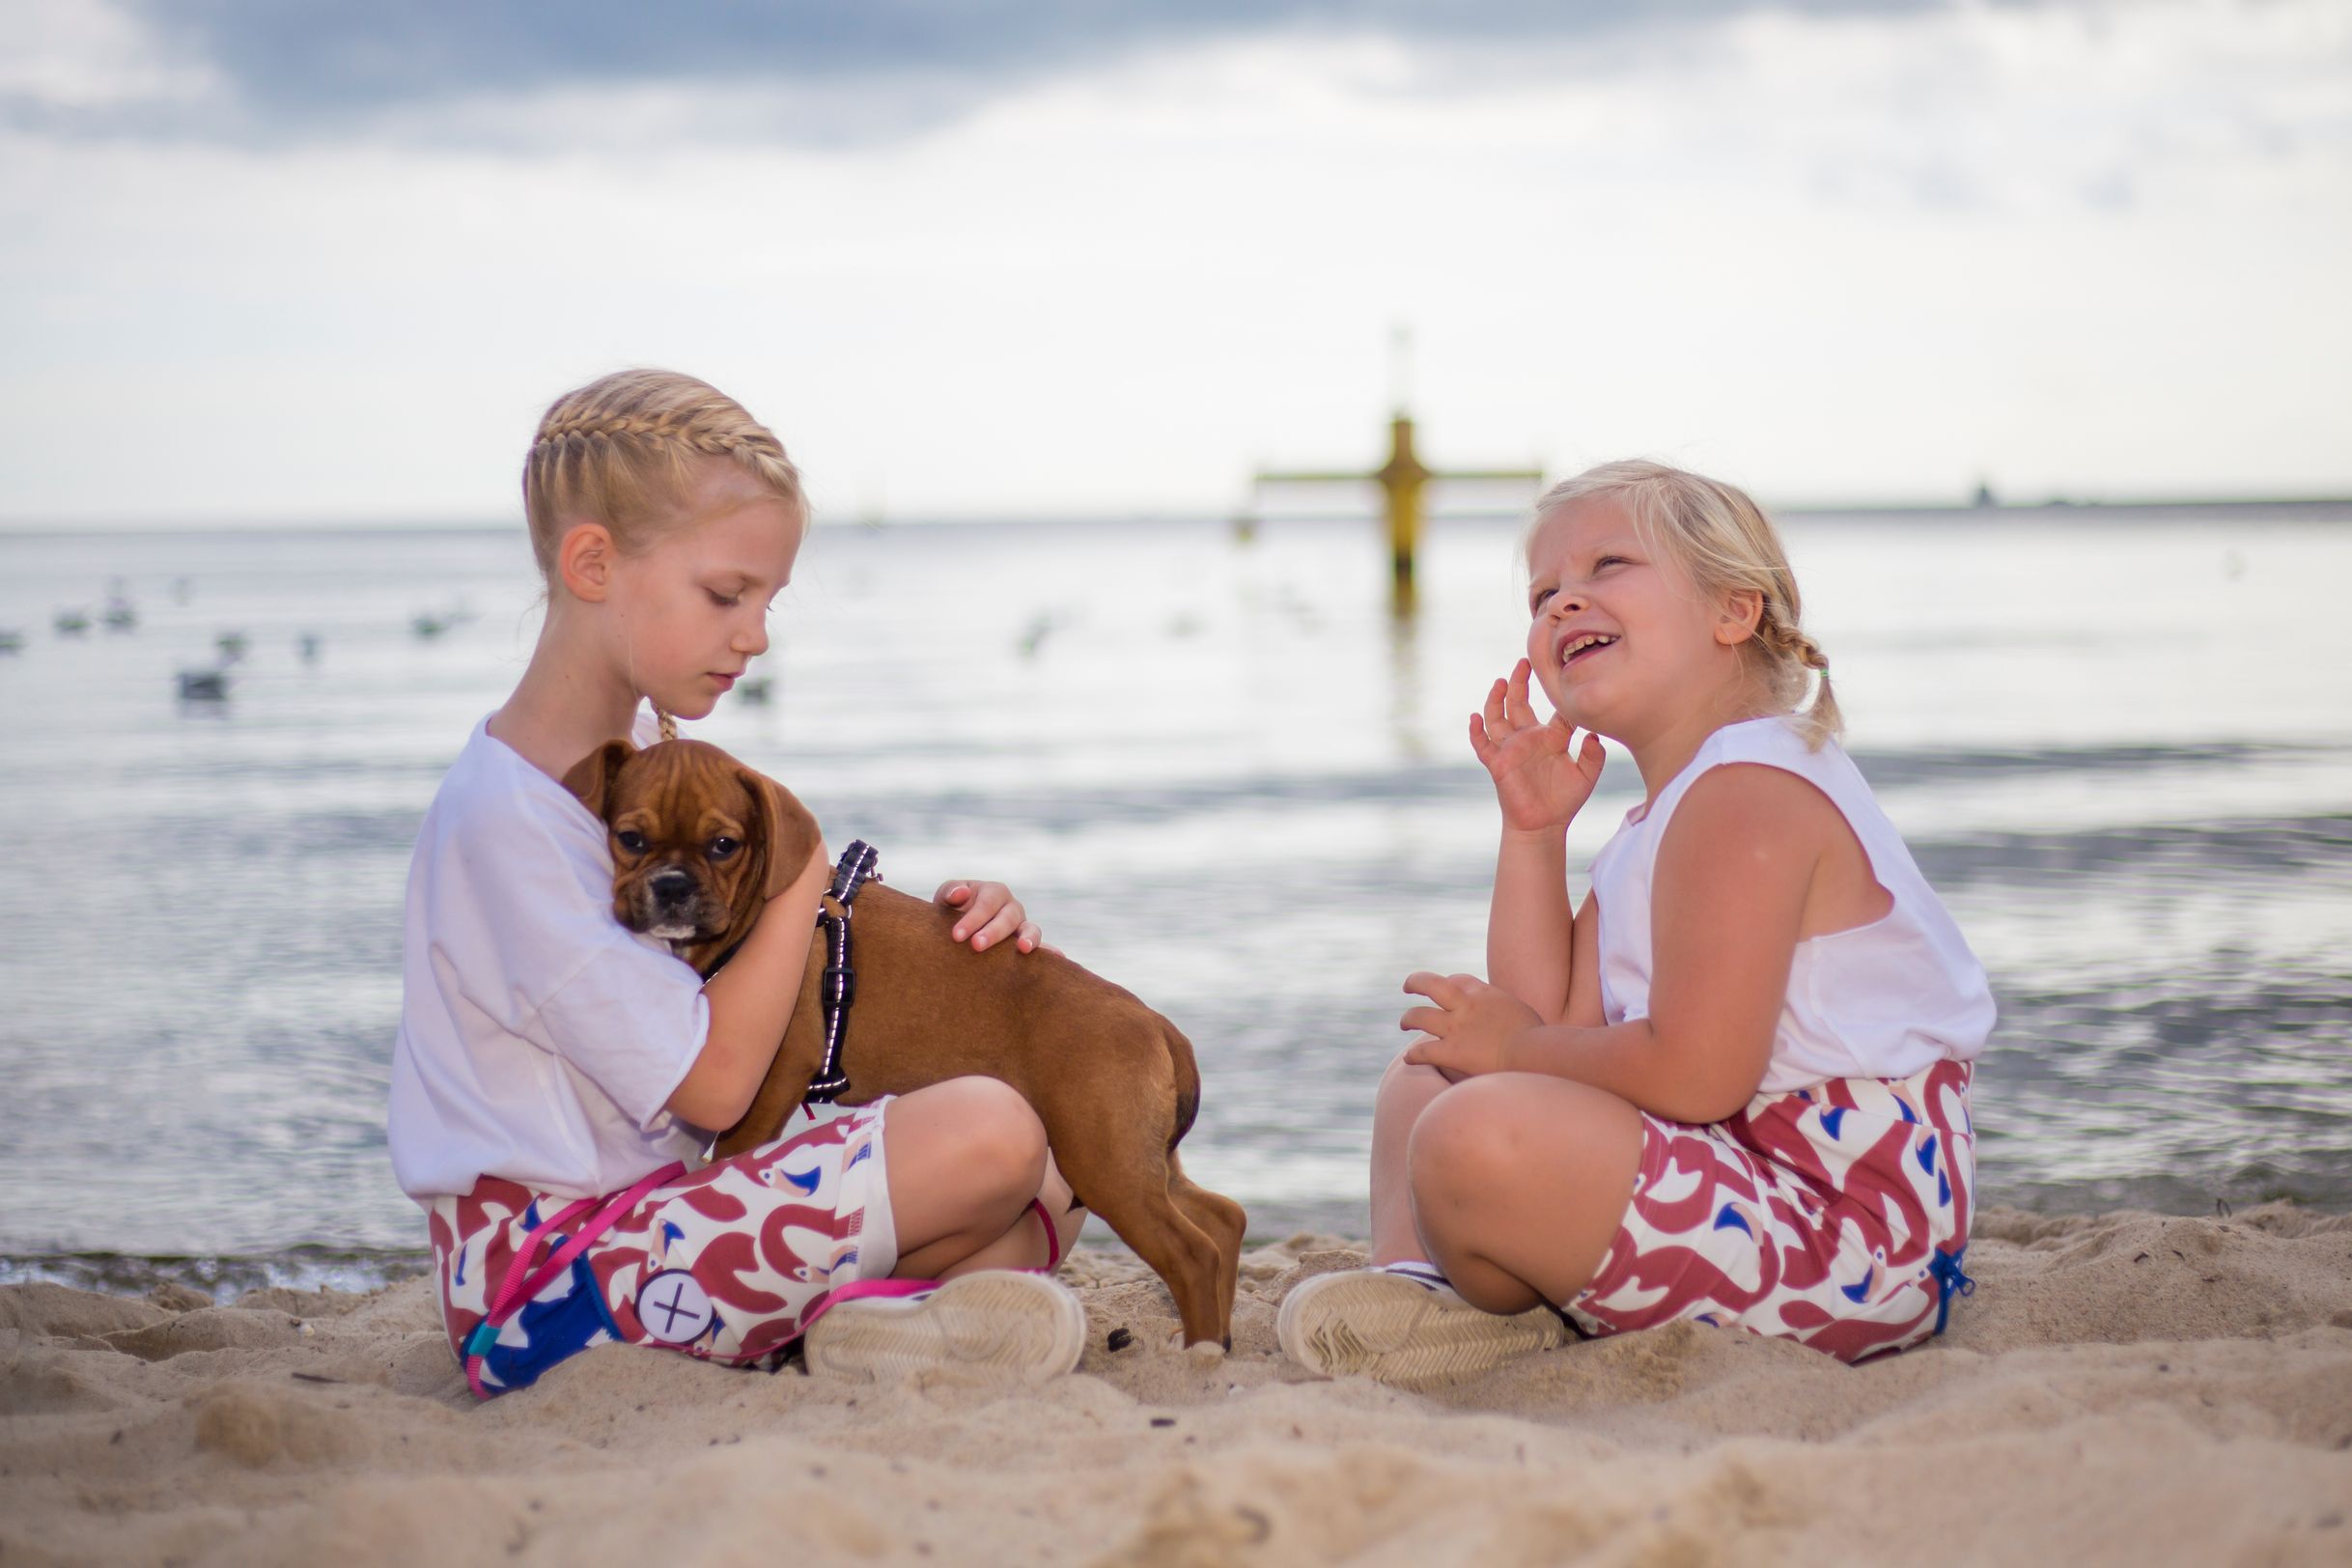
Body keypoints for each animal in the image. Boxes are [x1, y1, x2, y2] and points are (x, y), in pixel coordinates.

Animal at [563, 737, 1246, 1348]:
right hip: (1138, 1156)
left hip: (1107, 1164)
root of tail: (1155, 1022)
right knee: (1224, 1218)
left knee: (1192, 1253)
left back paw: (1201, 1356)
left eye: (723, 845)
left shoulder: (763, 1089)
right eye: (630, 839)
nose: (672, 886)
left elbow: (729, 1153)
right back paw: (1218, 1345)